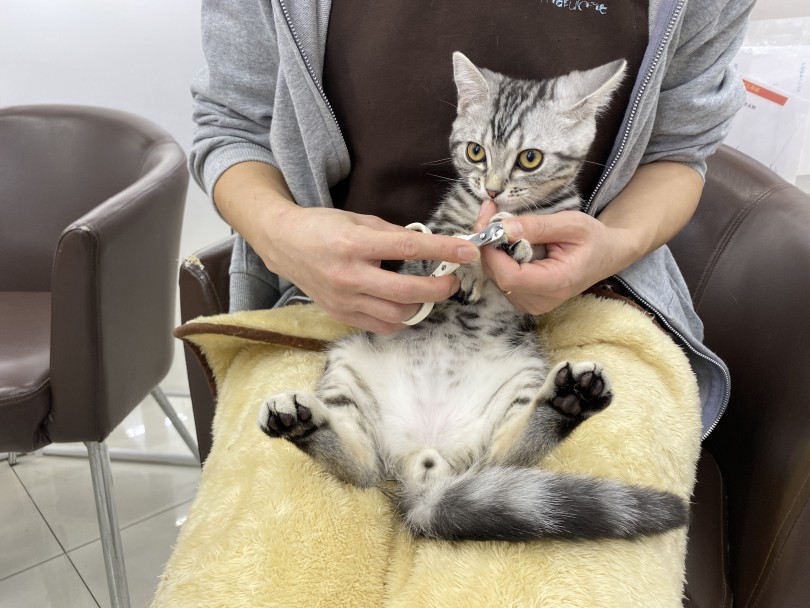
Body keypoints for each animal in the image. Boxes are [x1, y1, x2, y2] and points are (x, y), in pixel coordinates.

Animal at [256, 53, 684, 540]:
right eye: (475, 151)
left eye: (530, 159)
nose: (492, 189)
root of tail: (426, 461)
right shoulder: (435, 236)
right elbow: (445, 246)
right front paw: (468, 262)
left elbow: (530, 250)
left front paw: (512, 247)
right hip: (347, 370)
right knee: (362, 467)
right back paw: (300, 422)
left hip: (522, 377)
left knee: (504, 453)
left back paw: (570, 398)